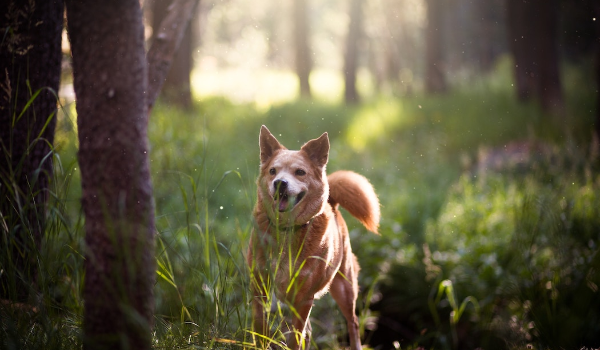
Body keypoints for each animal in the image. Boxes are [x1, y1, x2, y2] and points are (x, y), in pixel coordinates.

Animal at [247, 126, 380, 350]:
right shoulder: (260, 287)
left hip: (344, 288)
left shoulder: (303, 298)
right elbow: (261, 330)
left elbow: (295, 338)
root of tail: (332, 202)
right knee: (309, 331)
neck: (287, 230)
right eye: (273, 171)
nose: (280, 183)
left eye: (300, 172)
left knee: (352, 323)